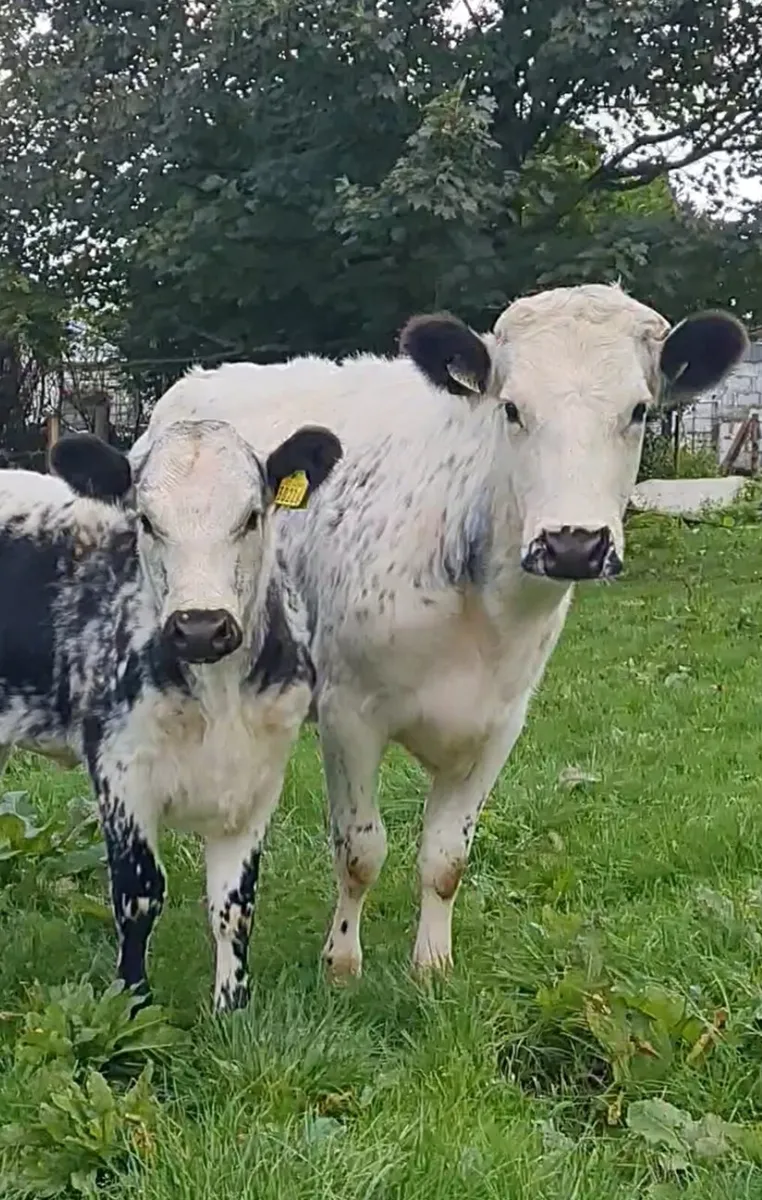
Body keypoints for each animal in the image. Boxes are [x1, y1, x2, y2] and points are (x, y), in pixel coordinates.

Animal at [0, 418, 342, 1010]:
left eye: (251, 516)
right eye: (146, 520)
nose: (201, 627)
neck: (218, 698)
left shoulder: (258, 779)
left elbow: (235, 903)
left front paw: (232, 1008)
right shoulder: (119, 767)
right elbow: (139, 894)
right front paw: (131, 1003)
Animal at [130, 283, 748, 980]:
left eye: (639, 409)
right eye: (512, 409)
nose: (572, 544)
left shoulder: (499, 725)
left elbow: (447, 857)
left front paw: (432, 963)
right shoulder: (349, 714)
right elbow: (360, 849)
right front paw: (342, 962)